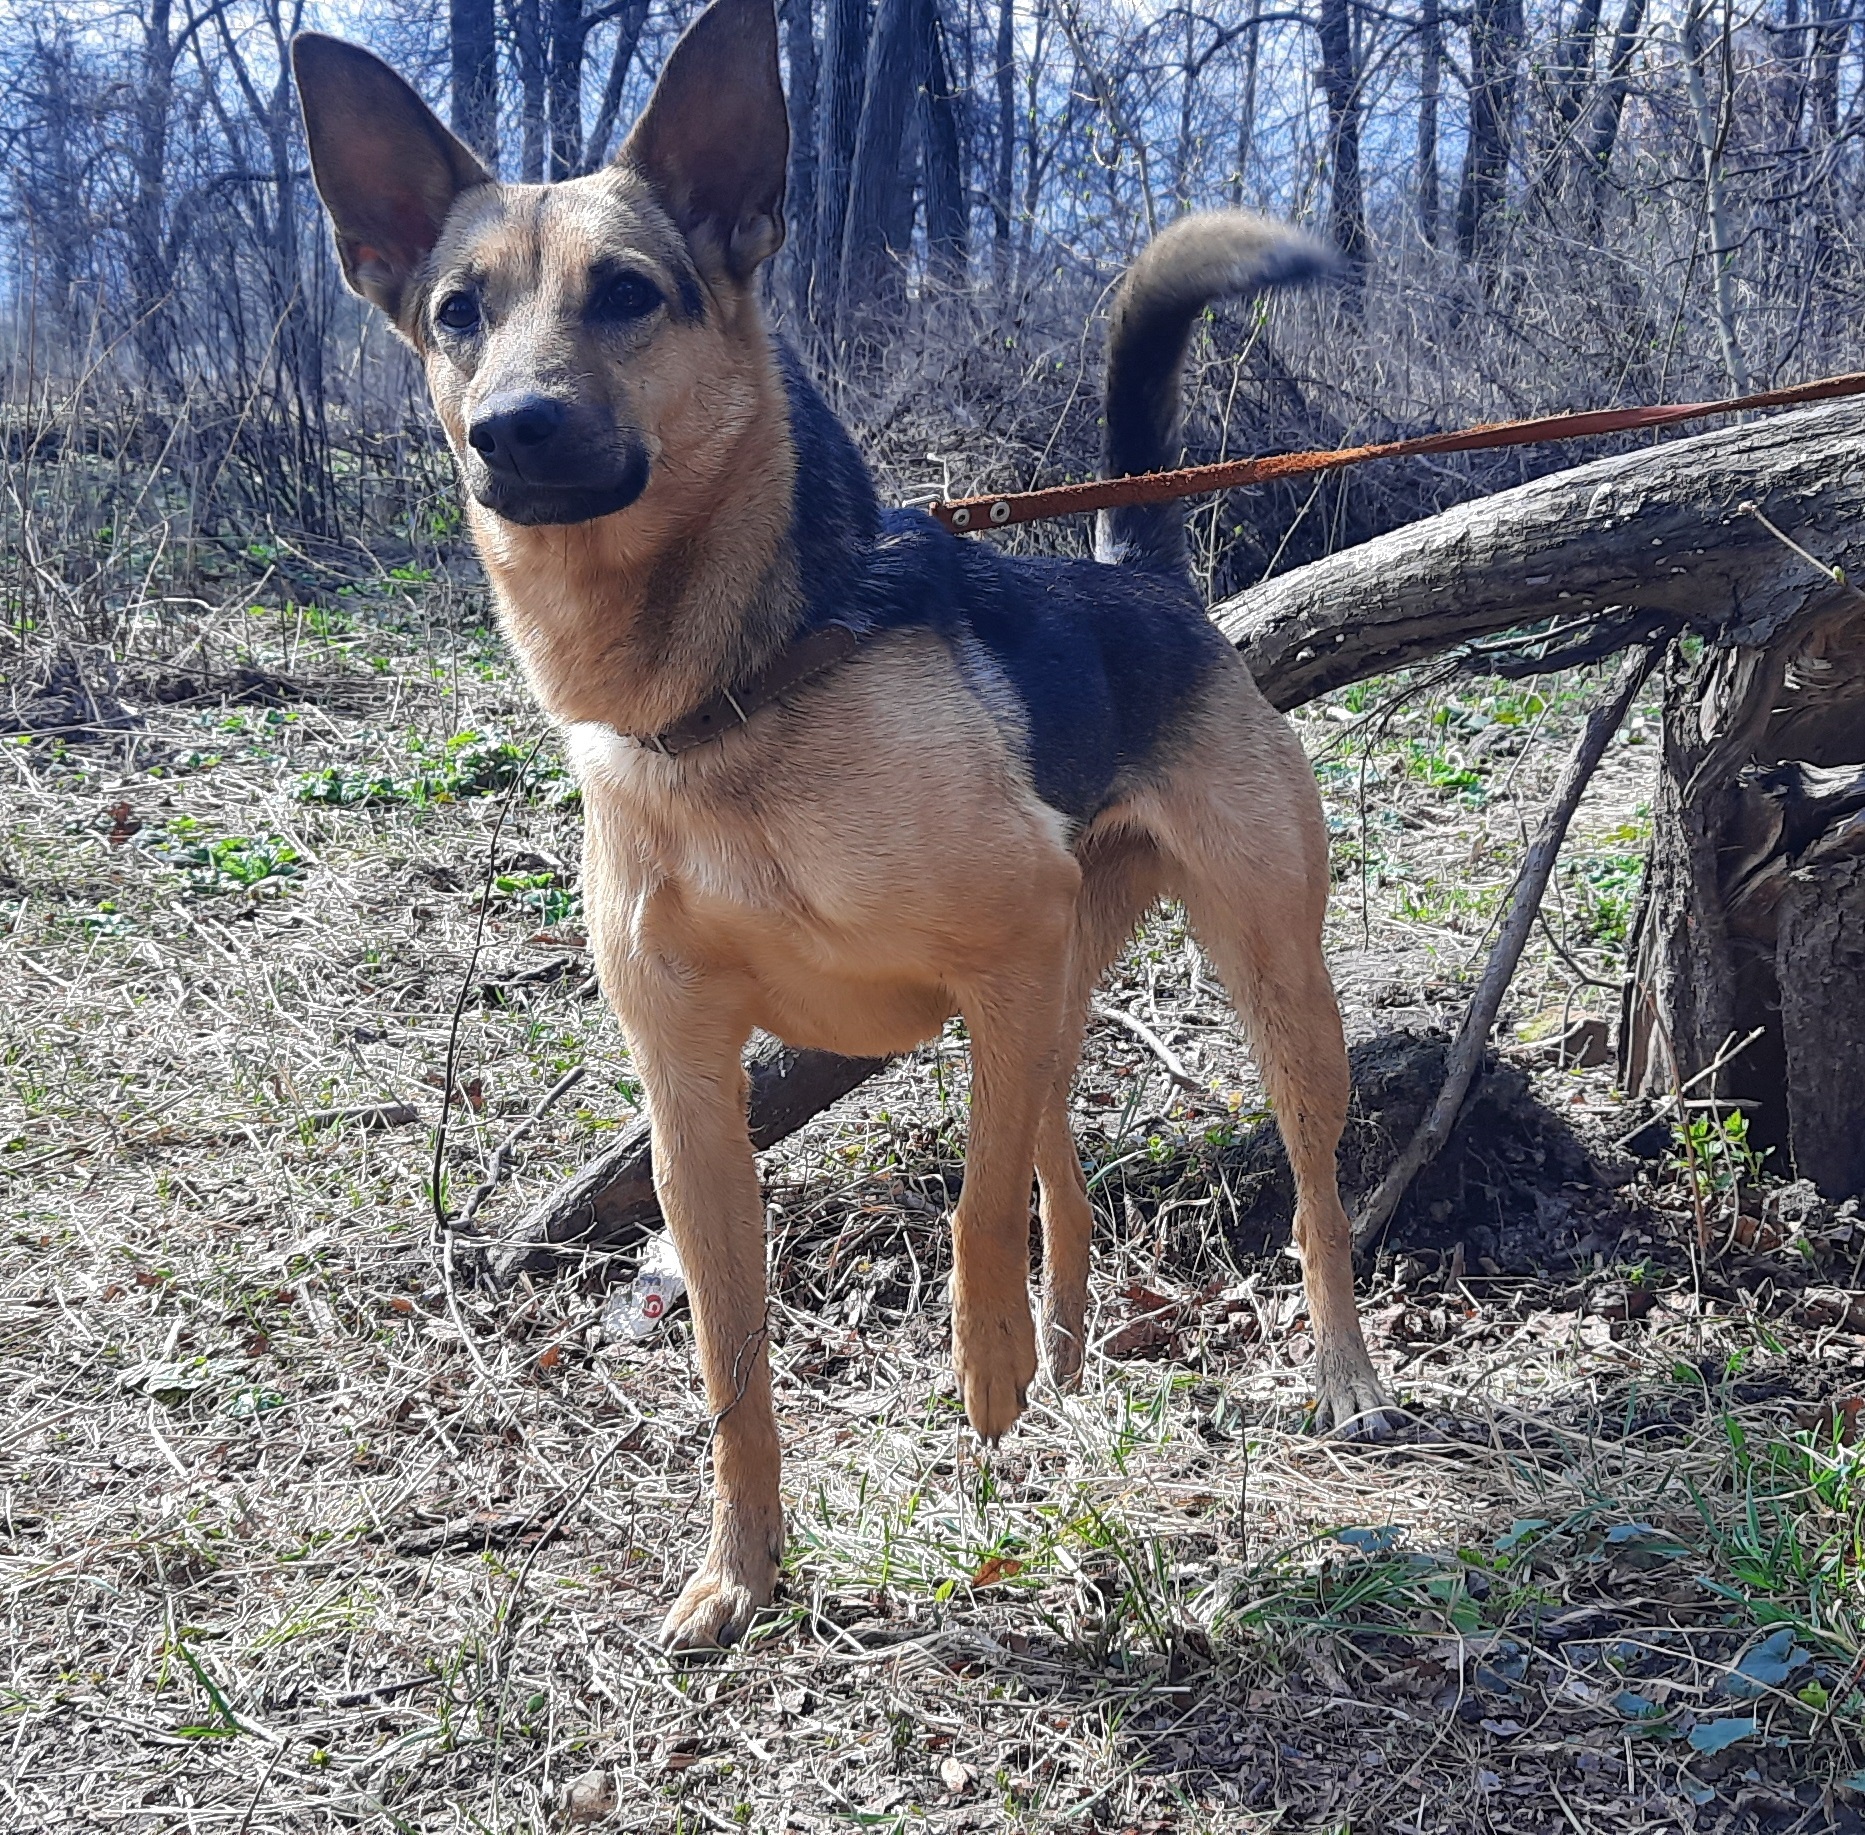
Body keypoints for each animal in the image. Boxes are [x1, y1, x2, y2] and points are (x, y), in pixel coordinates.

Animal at [294, 0, 1402, 1648]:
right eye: (454, 312)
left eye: (629, 295)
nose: (514, 430)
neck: (727, 698)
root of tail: (1136, 574)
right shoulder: (695, 1096)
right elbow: (732, 1363)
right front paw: (740, 1570)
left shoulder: (996, 957)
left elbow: (971, 1210)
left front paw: (980, 1377)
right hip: (1057, 993)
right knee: (1058, 1160)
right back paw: (1070, 1350)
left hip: (1263, 982)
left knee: (1303, 1190)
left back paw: (1325, 1371)